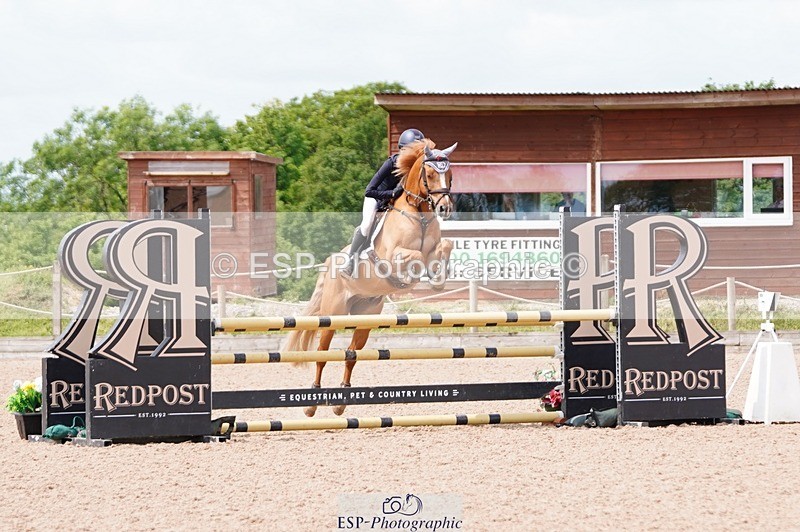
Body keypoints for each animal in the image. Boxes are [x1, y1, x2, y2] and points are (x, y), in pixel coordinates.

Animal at [282, 138, 457, 417]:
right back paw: (311, 404)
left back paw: (340, 403)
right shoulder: (393, 256)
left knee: (350, 354)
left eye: (449, 174)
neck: (418, 215)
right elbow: (416, 255)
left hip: (366, 316)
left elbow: (445, 246)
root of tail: (329, 264)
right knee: (322, 353)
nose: (445, 208)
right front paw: (417, 276)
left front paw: (437, 278)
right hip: (333, 315)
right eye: (430, 174)